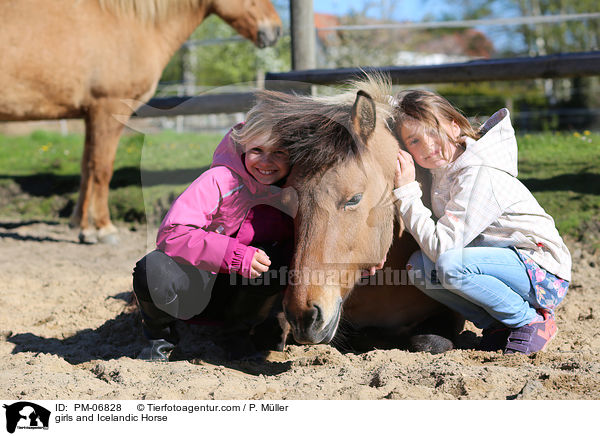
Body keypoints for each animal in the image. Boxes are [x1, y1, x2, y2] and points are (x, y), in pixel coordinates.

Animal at [0, 0, 282, 244]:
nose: (276, 30)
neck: (130, 24)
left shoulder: (92, 114)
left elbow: (87, 168)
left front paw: (82, 226)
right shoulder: (107, 109)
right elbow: (102, 169)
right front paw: (103, 229)